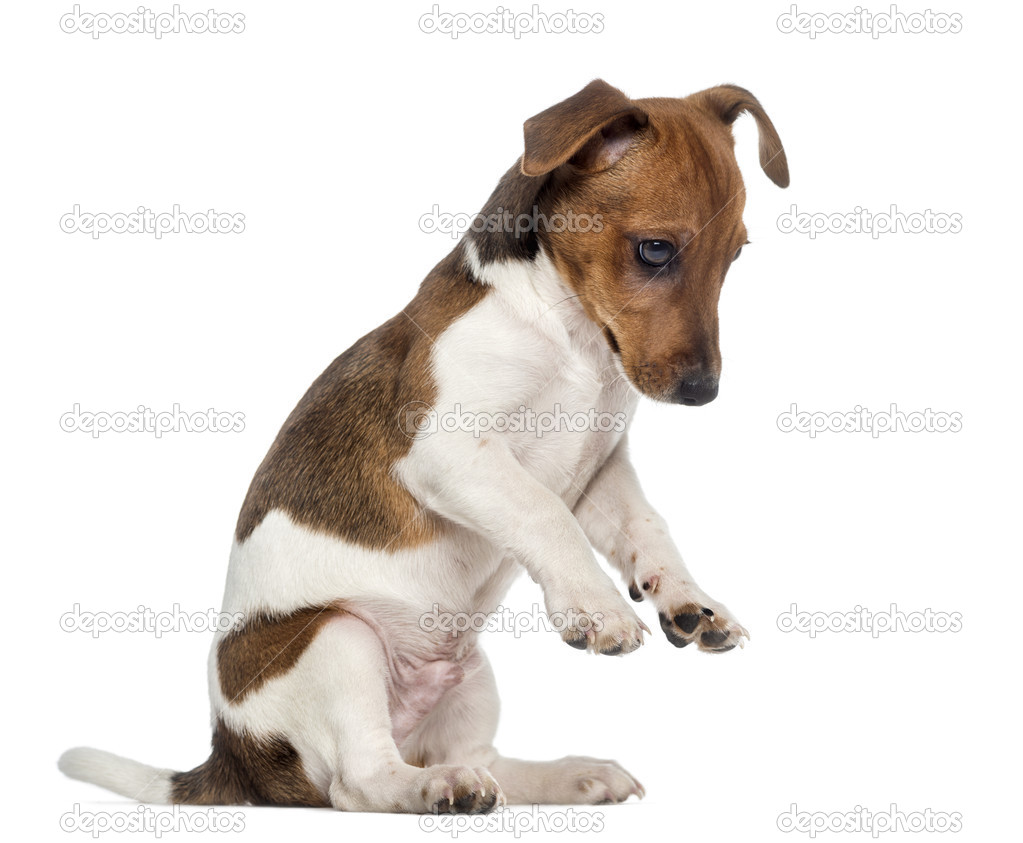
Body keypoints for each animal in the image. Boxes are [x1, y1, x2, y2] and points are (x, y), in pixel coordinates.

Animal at [58, 78, 789, 810]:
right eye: (655, 250)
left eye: (736, 256)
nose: (703, 392)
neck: (571, 335)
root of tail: (232, 759)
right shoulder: (451, 451)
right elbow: (543, 514)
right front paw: (598, 608)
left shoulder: (599, 465)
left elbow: (645, 528)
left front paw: (689, 601)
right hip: (337, 637)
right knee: (360, 781)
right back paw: (437, 787)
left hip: (470, 677)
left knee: (482, 761)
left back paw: (567, 775)